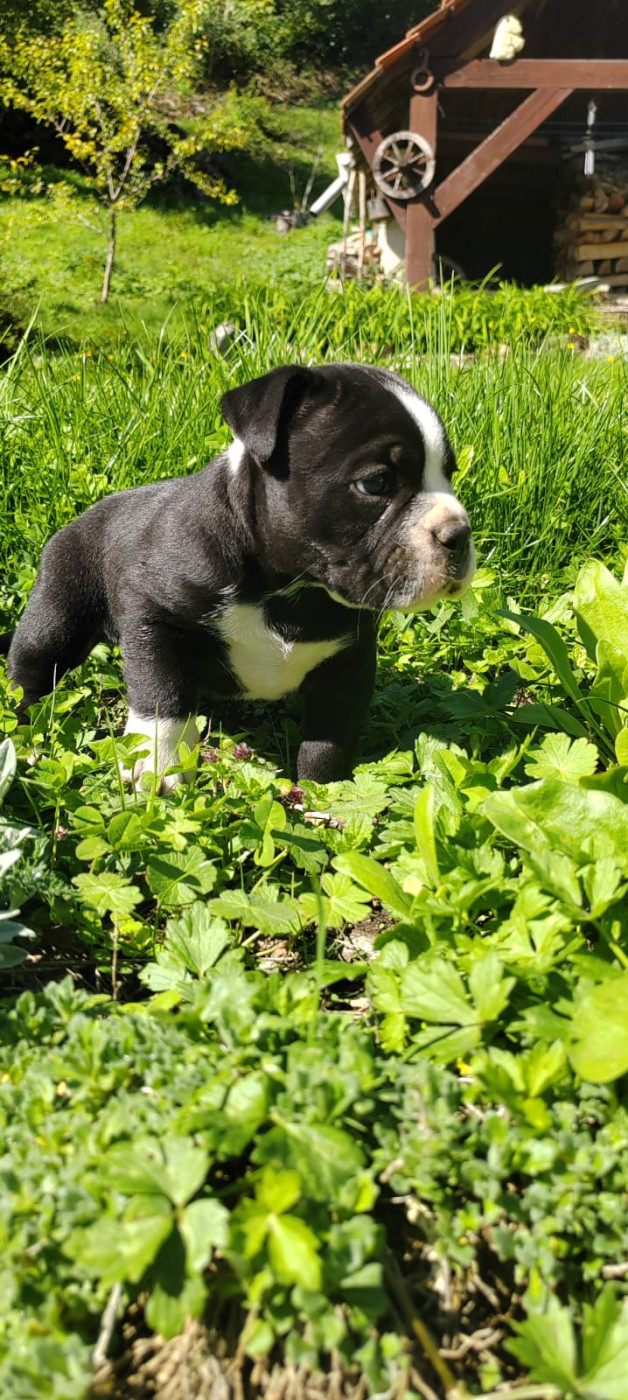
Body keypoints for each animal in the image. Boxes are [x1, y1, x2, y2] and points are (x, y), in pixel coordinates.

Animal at [0, 363, 475, 789]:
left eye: (450, 474)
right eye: (377, 483)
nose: (459, 532)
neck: (291, 590)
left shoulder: (348, 661)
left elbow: (329, 738)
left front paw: (323, 798)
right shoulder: (151, 616)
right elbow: (162, 696)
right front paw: (159, 764)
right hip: (57, 615)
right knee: (30, 675)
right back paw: (25, 735)